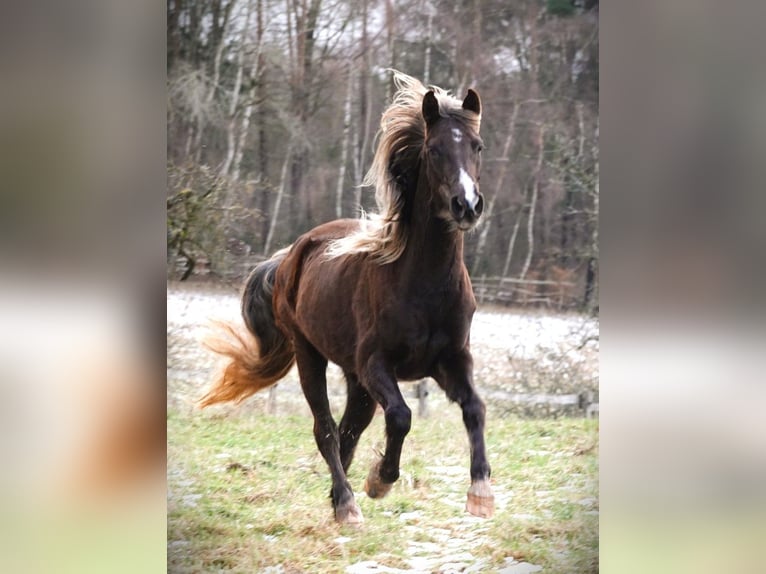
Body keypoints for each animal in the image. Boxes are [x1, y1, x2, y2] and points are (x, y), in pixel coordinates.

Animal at [200, 71, 494, 525]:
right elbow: (401, 416)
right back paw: (346, 503)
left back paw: (340, 496)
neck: (424, 285)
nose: (467, 205)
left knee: (347, 431)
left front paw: (480, 491)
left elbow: (474, 408)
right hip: (311, 356)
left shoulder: (451, 360)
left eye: (477, 146)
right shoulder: (376, 364)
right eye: (434, 149)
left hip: (357, 382)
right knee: (325, 430)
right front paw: (381, 480)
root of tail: (291, 254)